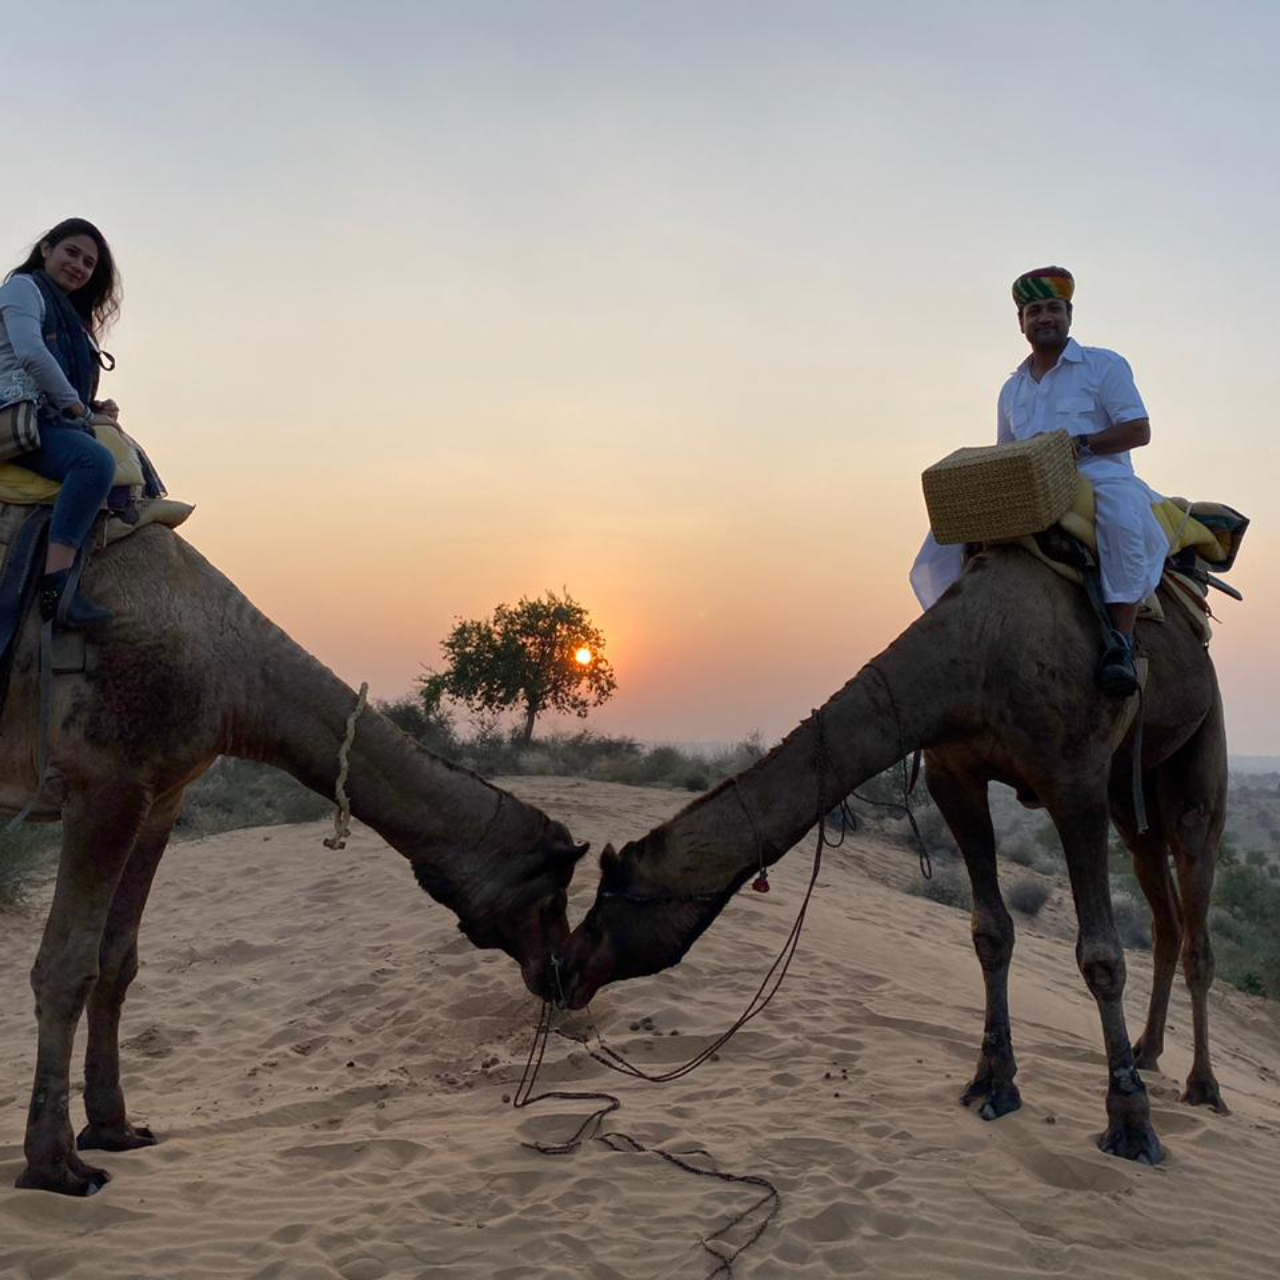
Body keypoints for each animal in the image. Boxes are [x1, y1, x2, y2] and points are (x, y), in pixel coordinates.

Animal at [1, 525, 588, 1196]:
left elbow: (117, 962)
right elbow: (68, 967)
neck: (234, 676)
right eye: (553, 895)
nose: (563, 975)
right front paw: (55, 1165)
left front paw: (115, 1128)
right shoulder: (105, 781)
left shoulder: (161, 794)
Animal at [562, 543, 1229, 1164]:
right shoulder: (954, 775)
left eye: (600, 913)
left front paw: (1131, 1122)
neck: (976, 658)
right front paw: (992, 1084)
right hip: (1128, 788)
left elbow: (1102, 957)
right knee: (1162, 906)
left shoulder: (1075, 779)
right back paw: (1149, 1052)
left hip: (1197, 742)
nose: (561, 973)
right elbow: (991, 931)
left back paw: (1203, 1086)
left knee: (1196, 893)